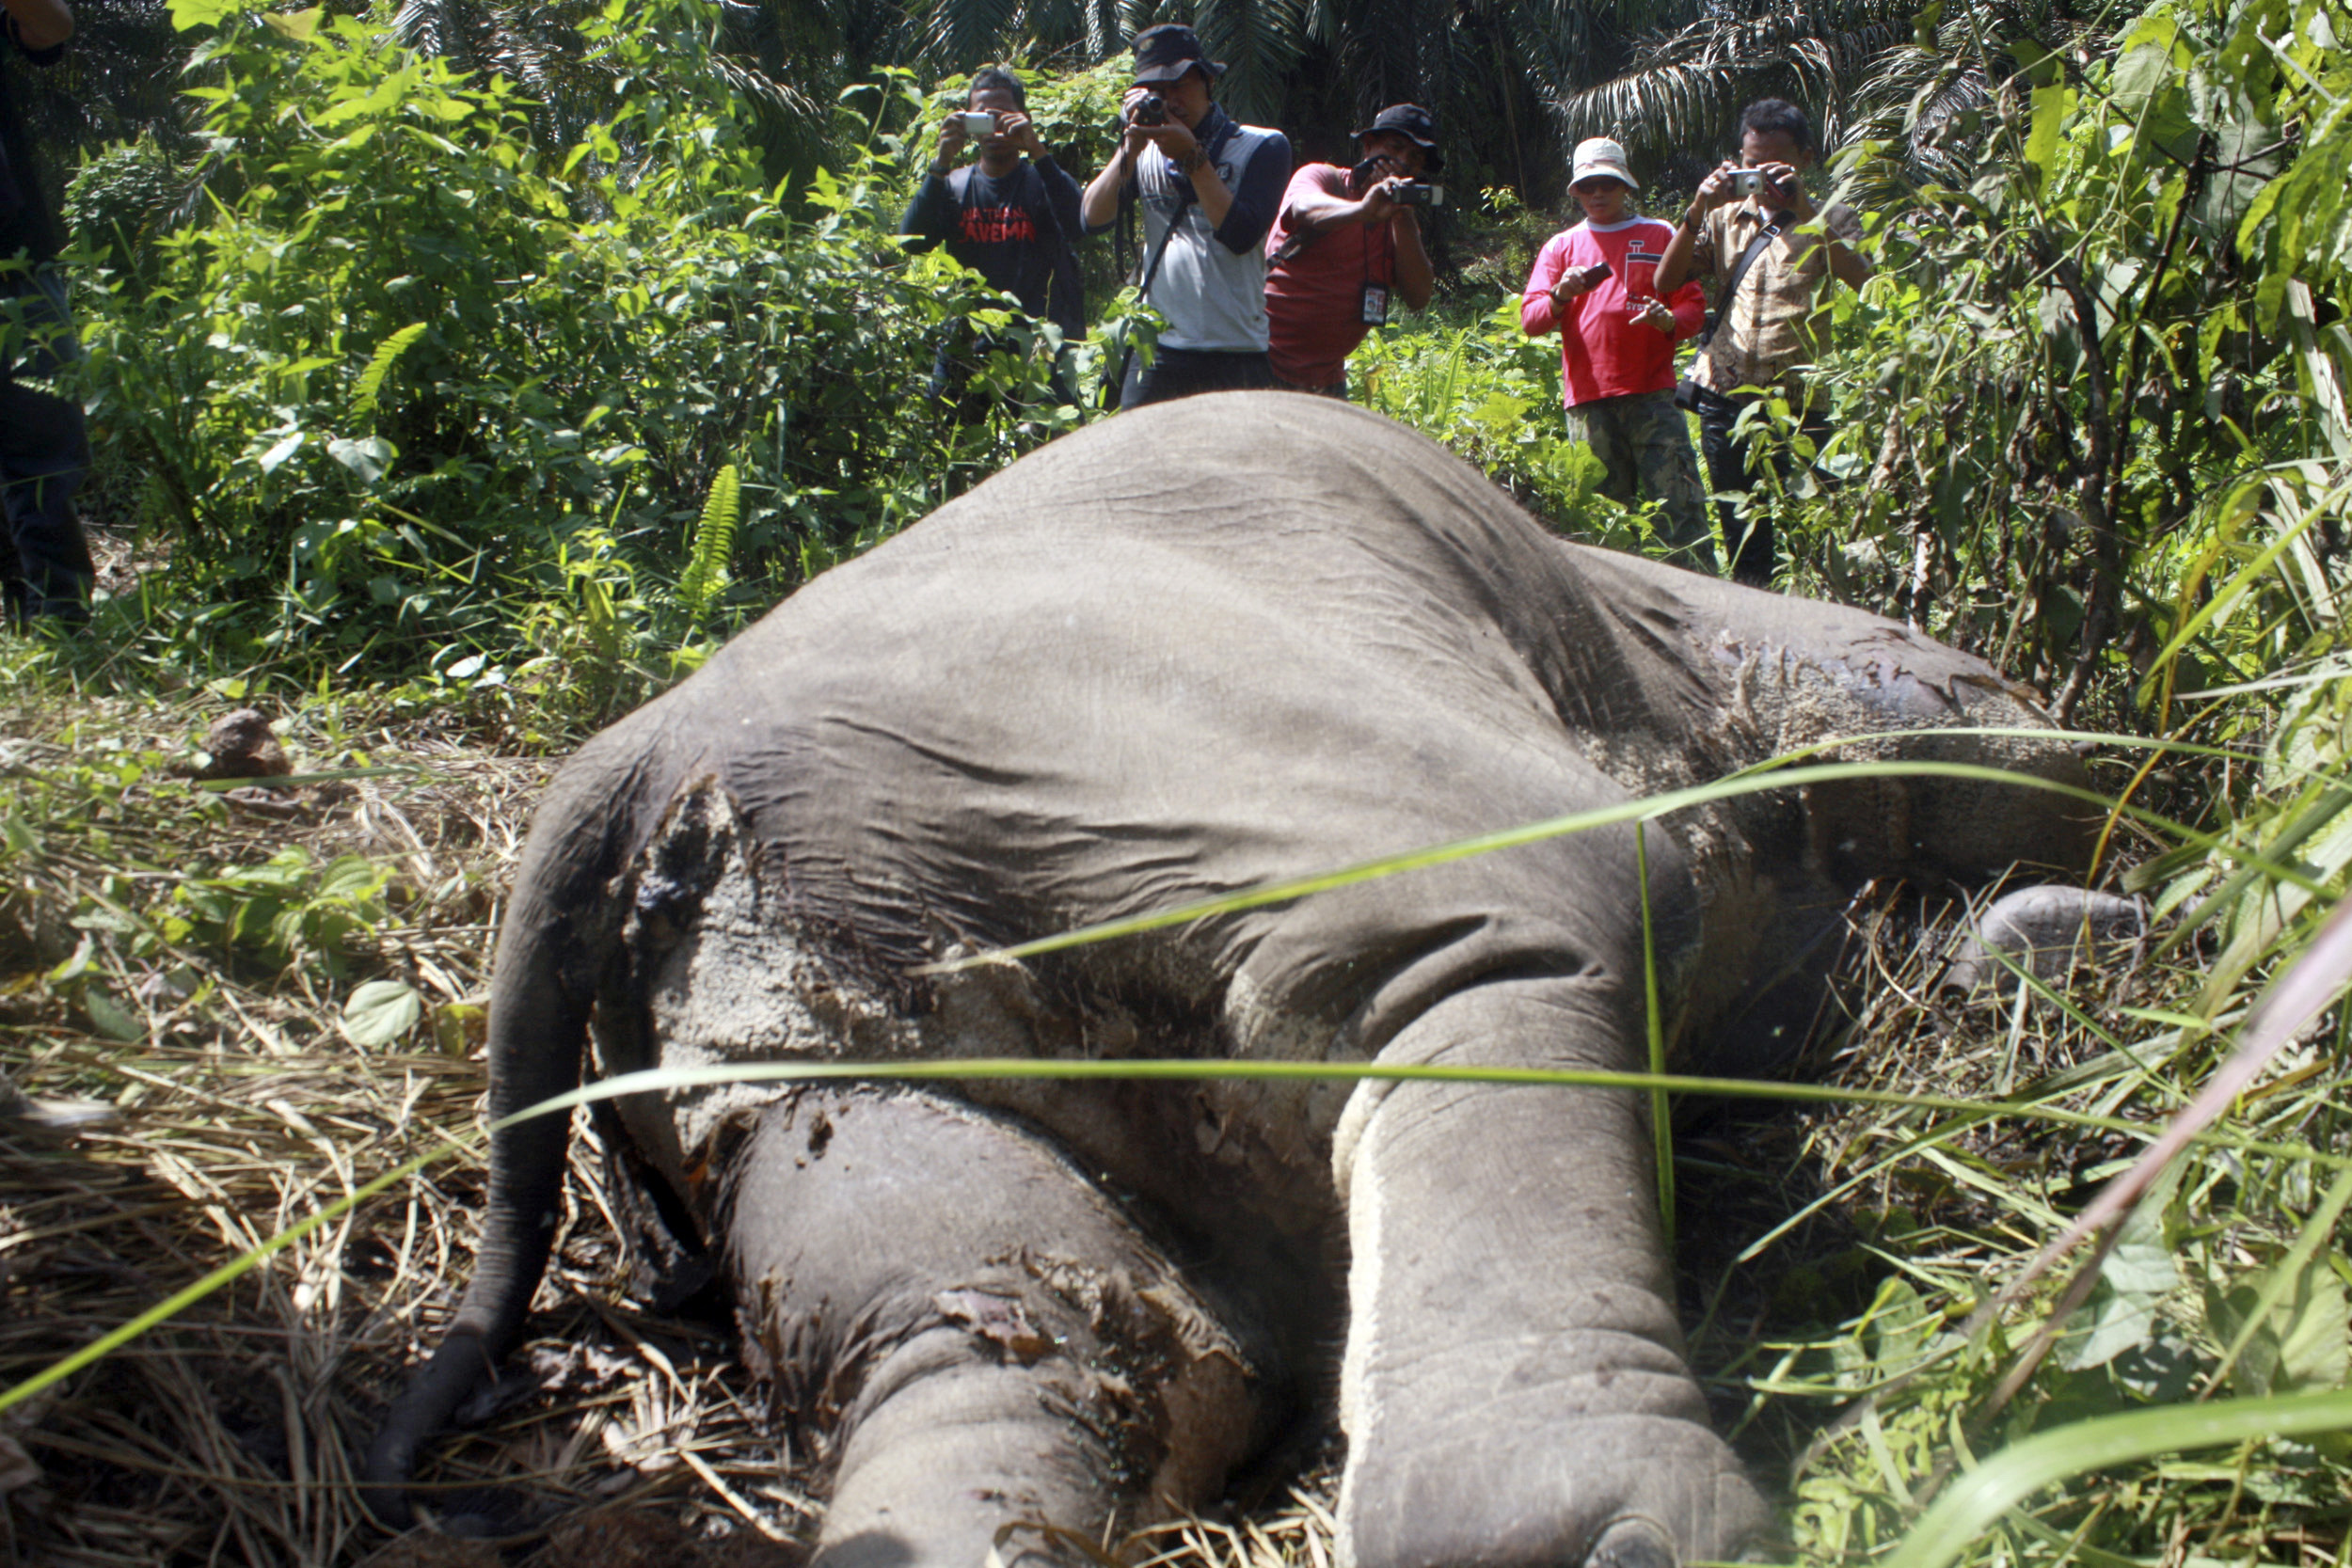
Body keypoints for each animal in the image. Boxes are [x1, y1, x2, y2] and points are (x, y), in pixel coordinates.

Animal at [366, 393, 2102, 1568]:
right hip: (1184, 755)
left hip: (810, 1023)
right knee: (1512, 949)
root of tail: (639, 749)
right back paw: (1588, 1524)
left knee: (1053, 1331)